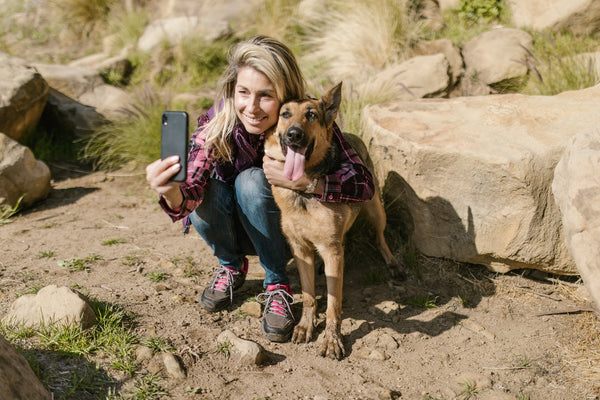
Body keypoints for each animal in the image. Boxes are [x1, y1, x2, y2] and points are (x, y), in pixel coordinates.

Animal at [264, 83, 406, 358]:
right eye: (285, 114)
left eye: (311, 115)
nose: (294, 135)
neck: (302, 192)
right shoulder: (300, 249)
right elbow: (309, 295)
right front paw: (305, 326)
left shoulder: (331, 250)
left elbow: (333, 305)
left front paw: (332, 339)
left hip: (376, 211)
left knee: (380, 238)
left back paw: (393, 264)